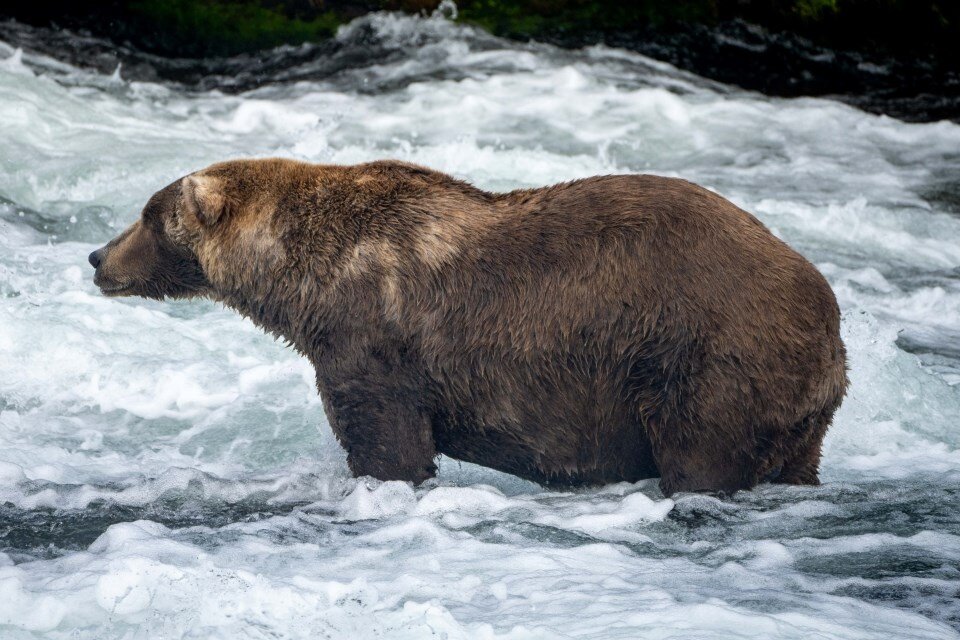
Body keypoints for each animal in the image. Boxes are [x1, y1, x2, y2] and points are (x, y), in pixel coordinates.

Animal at [86, 159, 844, 496]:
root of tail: (830, 320)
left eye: (148, 216)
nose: (97, 257)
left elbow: (386, 440)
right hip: (794, 403)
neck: (303, 284)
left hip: (707, 355)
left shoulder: (373, 336)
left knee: (700, 452)